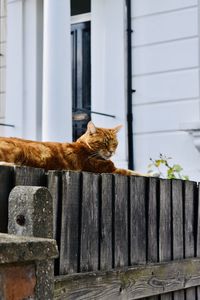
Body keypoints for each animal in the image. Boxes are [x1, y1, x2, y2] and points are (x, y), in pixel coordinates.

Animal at [0, 120, 145, 176]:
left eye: (114, 144)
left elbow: (131, 170)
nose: (111, 151)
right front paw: (150, 174)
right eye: (104, 143)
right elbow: (132, 171)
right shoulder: (108, 169)